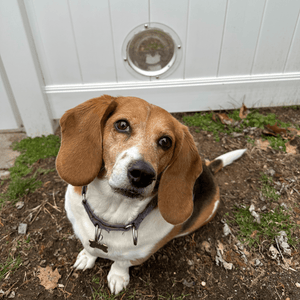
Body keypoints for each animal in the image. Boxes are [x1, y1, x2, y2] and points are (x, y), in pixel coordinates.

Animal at [56, 95, 246, 292]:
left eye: (165, 141)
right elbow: (89, 247)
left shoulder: (138, 254)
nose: (143, 174)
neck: (111, 213)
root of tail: (208, 169)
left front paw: (118, 276)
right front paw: (87, 256)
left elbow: (121, 263)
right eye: (122, 125)